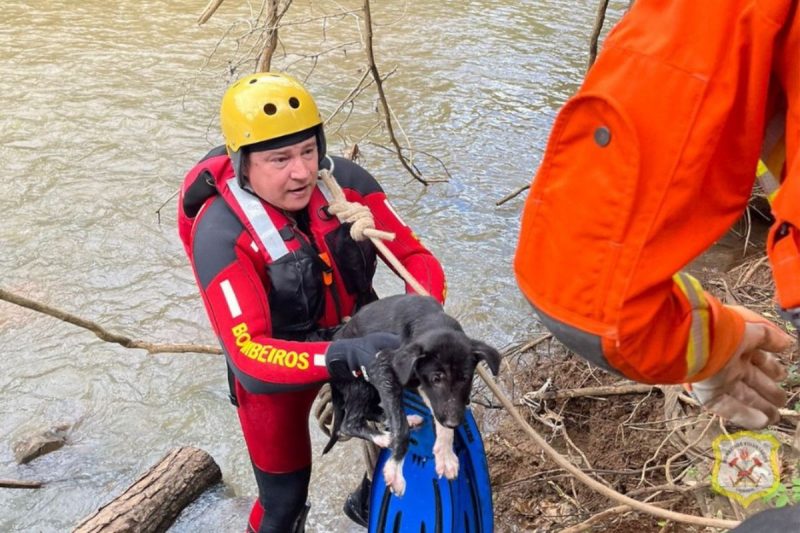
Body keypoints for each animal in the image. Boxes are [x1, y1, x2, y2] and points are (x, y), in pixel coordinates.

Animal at [324, 294, 500, 492]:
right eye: (436, 379)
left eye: (465, 378)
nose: (454, 422)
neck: (430, 320)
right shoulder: (383, 368)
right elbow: (402, 430)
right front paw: (394, 470)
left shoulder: (427, 389)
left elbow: (438, 415)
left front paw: (445, 455)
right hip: (360, 382)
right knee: (349, 423)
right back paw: (385, 438)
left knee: (373, 411)